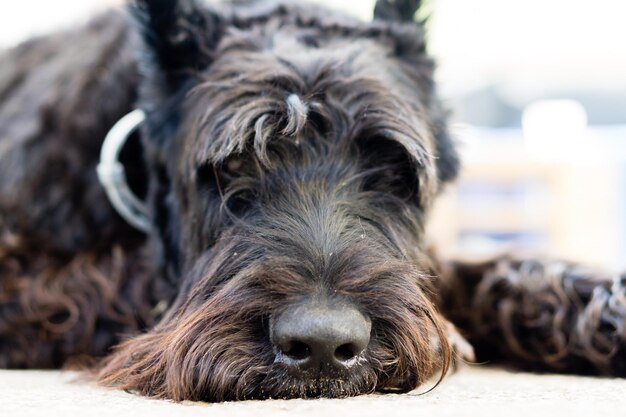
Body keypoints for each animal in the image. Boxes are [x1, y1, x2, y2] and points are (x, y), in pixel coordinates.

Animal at [1, 0, 624, 402]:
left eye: (392, 169)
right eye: (232, 165)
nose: (323, 345)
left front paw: (604, 305)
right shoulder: (25, 285)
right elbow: (116, 278)